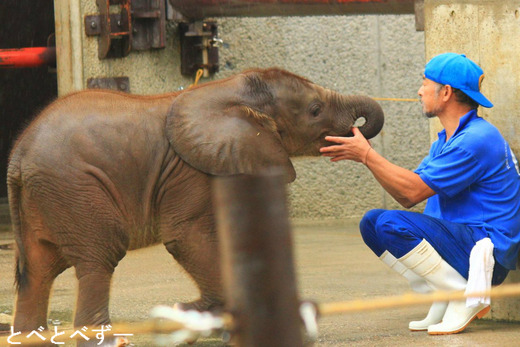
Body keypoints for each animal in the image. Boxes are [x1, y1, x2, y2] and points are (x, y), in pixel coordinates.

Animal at [7, 68, 382, 340]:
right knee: (99, 258)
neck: (227, 89)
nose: (355, 132)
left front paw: (203, 315)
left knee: (37, 273)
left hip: (49, 196)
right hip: (75, 188)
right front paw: (209, 315)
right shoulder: (190, 170)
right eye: (315, 110)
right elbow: (187, 237)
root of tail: (18, 155)